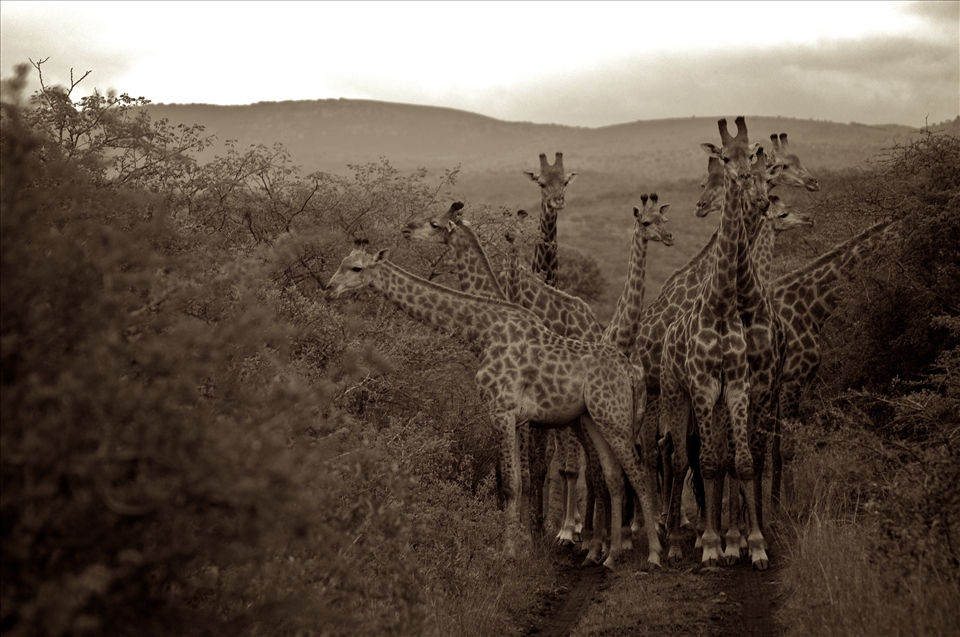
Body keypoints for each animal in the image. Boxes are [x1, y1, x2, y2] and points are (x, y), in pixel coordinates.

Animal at [326, 245, 664, 569]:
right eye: (341, 261)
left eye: (356, 268)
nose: (329, 289)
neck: (482, 332)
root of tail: (630, 370)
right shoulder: (514, 417)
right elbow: (517, 481)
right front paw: (520, 548)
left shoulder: (500, 410)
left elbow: (510, 483)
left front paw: (508, 553)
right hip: (595, 419)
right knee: (614, 475)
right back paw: (609, 556)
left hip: (615, 418)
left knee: (637, 472)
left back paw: (653, 554)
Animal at [769, 218, 900, 506]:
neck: (812, 307)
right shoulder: (792, 380)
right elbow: (787, 448)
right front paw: (790, 509)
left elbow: (773, 450)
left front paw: (771, 508)